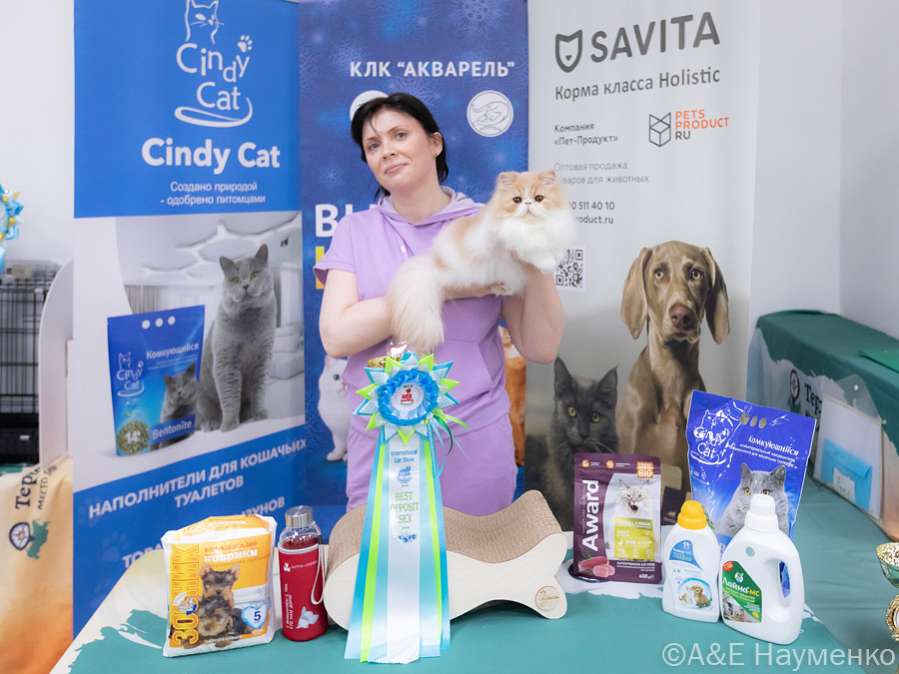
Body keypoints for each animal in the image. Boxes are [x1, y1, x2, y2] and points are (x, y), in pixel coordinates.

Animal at [197, 245, 276, 433]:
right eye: (234, 279)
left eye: (254, 273)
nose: (245, 285)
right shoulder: (226, 362)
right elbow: (229, 395)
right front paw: (229, 425)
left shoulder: (263, 358)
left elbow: (259, 389)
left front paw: (260, 415)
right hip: (202, 398)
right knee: (204, 415)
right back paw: (212, 424)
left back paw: (247, 414)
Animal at [388, 170, 575, 353]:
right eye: (517, 200)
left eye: (539, 198)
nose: (528, 203)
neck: (530, 226)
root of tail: (434, 262)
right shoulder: (510, 240)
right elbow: (534, 251)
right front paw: (547, 265)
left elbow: (552, 249)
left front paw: (555, 259)